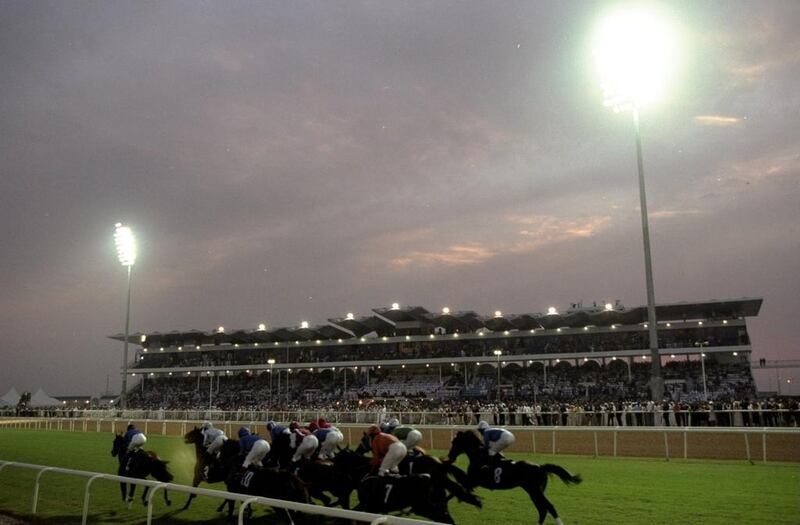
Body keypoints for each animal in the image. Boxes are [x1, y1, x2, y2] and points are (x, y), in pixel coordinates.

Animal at [444, 430, 580, 524]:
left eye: (454, 442)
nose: (450, 456)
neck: (479, 457)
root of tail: (541, 467)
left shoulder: (472, 481)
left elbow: (456, 490)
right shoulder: (472, 482)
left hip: (535, 491)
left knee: (549, 508)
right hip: (534, 492)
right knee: (542, 510)